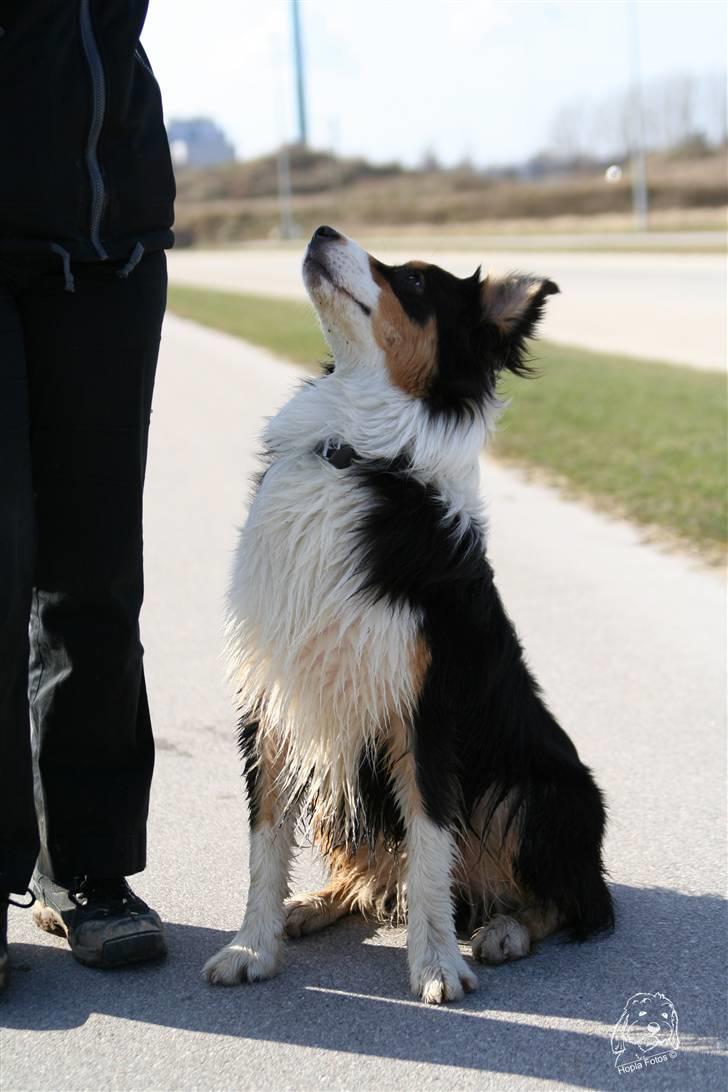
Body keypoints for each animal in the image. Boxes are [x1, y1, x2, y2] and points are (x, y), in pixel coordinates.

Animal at [205, 226, 615, 1000]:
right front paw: (252, 946)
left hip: (539, 790)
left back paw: (505, 929)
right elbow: (264, 836)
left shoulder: (425, 704)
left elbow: (429, 842)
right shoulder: (274, 691)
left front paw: (436, 966)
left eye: (418, 281)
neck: (353, 454)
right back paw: (314, 904)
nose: (321, 231)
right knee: (375, 876)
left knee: (579, 901)